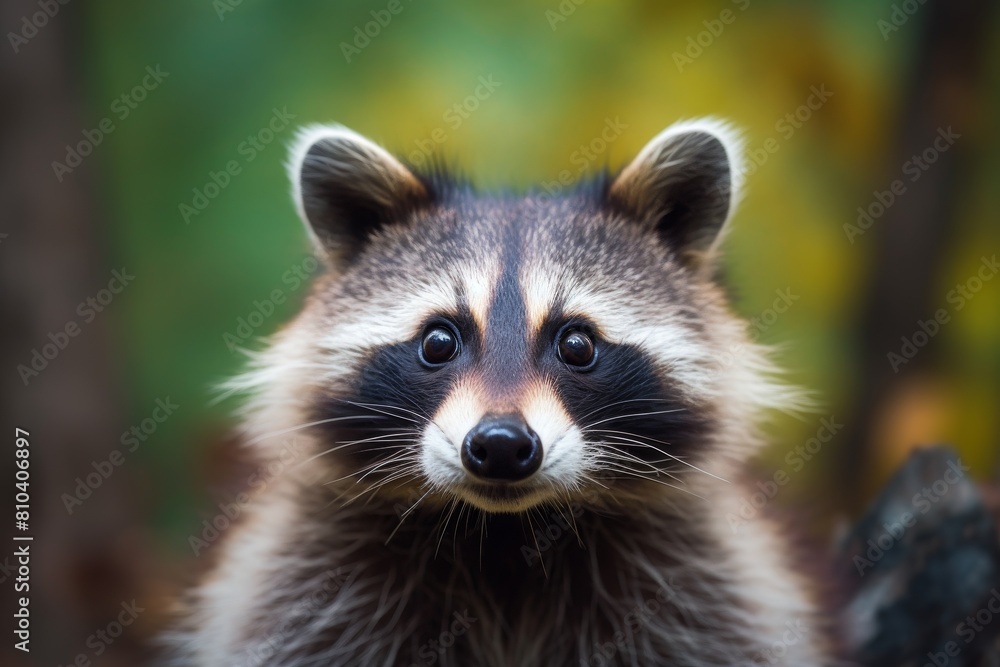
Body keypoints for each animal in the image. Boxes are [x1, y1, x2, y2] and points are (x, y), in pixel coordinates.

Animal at [166, 120, 836, 667]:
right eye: (438, 341)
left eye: (577, 344)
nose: (501, 445)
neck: (504, 536)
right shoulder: (305, 583)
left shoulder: (705, 587)